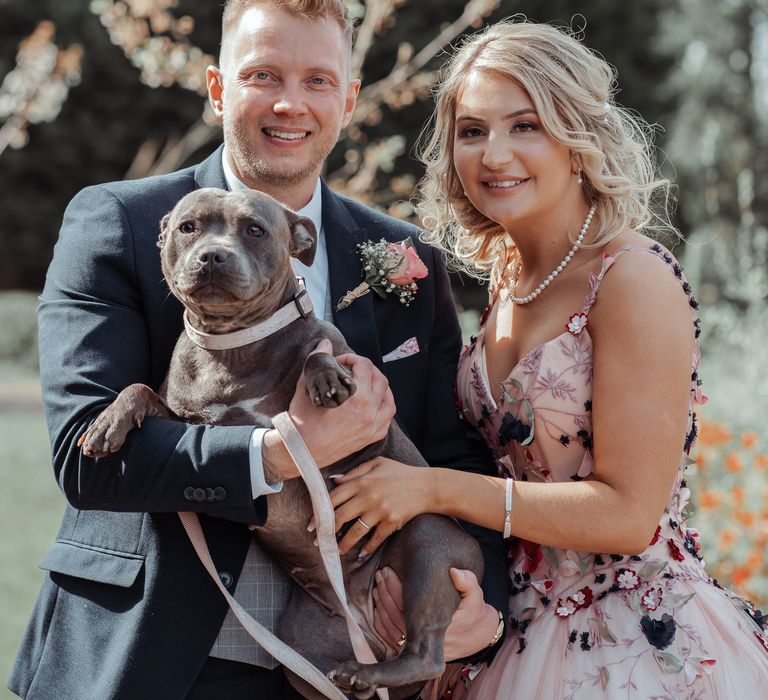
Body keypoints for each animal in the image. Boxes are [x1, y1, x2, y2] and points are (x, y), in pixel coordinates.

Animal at [79, 187, 486, 700]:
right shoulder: (189, 423)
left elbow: (317, 352)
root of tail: (368, 627)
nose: (212, 255)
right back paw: (360, 675)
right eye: (188, 227)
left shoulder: (350, 375)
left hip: (427, 540)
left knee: (426, 654)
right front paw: (109, 420)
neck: (233, 346)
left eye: (254, 229)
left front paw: (325, 378)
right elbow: (141, 391)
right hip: (300, 641)